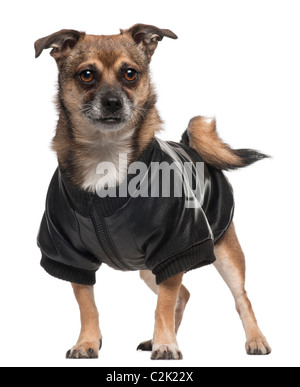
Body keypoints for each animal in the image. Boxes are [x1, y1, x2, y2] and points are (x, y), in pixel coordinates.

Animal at [35, 22, 272, 360]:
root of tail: (191, 146)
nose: (112, 102)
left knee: (240, 298)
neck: (106, 153)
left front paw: (166, 344)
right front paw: (87, 342)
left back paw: (255, 339)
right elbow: (88, 306)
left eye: (130, 74)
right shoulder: (71, 255)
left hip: (224, 251)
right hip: (149, 268)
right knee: (183, 294)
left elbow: (163, 305)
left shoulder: (176, 246)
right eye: (87, 75)